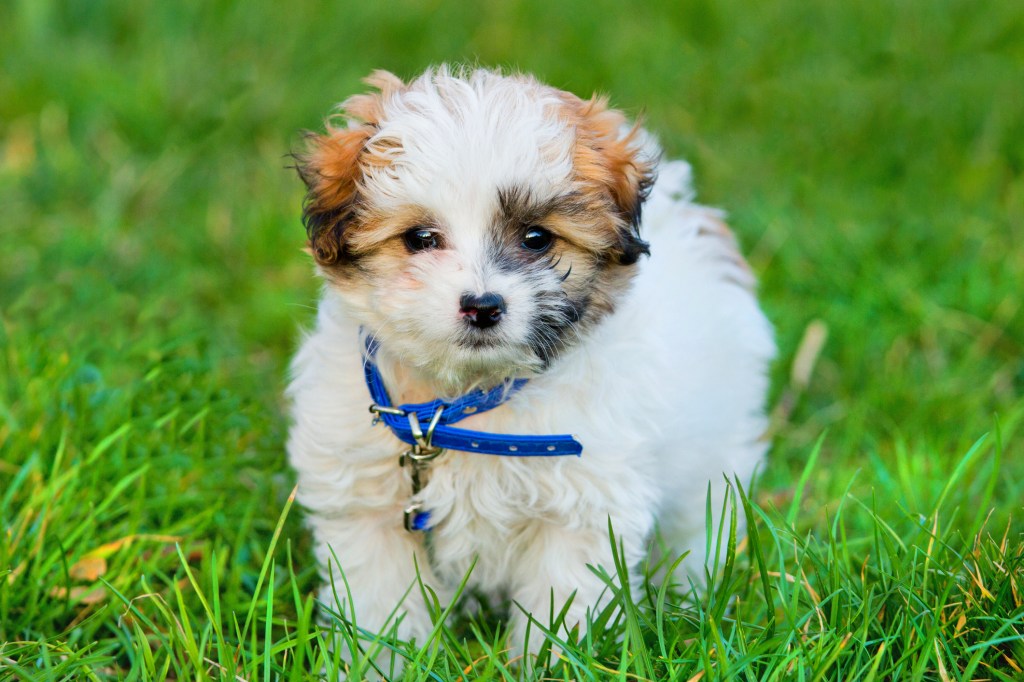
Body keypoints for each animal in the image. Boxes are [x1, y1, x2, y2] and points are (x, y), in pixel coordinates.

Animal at [284, 66, 770, 655]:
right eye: (420, 238)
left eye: (536, 238)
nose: (482, 305)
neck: (464, 404)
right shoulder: (368, 506)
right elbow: (380, 600)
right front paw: (382, 659)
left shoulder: (582, 510)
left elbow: (562, 601)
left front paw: (549, 660)